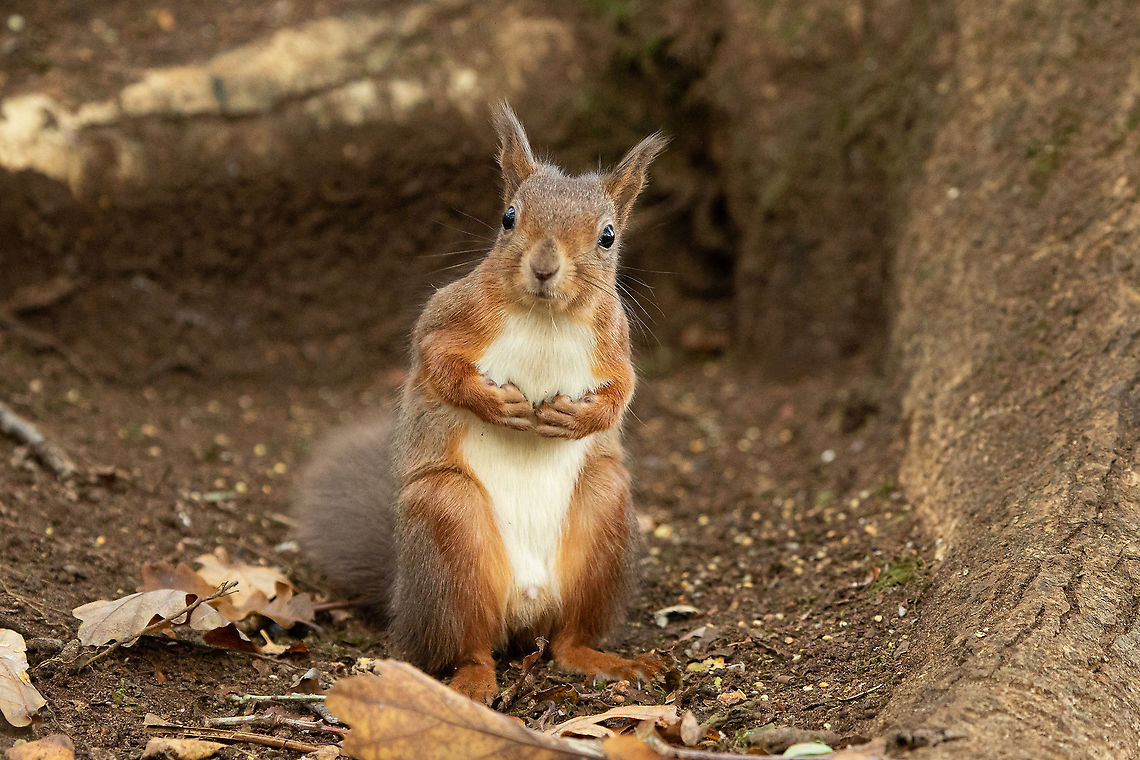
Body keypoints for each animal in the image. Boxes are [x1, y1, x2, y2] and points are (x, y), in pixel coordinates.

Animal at [295, 102, 668, 703]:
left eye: (608, 236)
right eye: (509, 217)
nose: (544, 267)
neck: (545, 316)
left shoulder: (616, 346)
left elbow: (621, 392)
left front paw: (576, 416)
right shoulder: (448, 318)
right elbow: (437, 363)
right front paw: (498, 406)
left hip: (603, 515)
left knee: (567, 642)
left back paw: (608, 662)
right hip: (449, 524)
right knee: (466, 647)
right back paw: (470, 684)